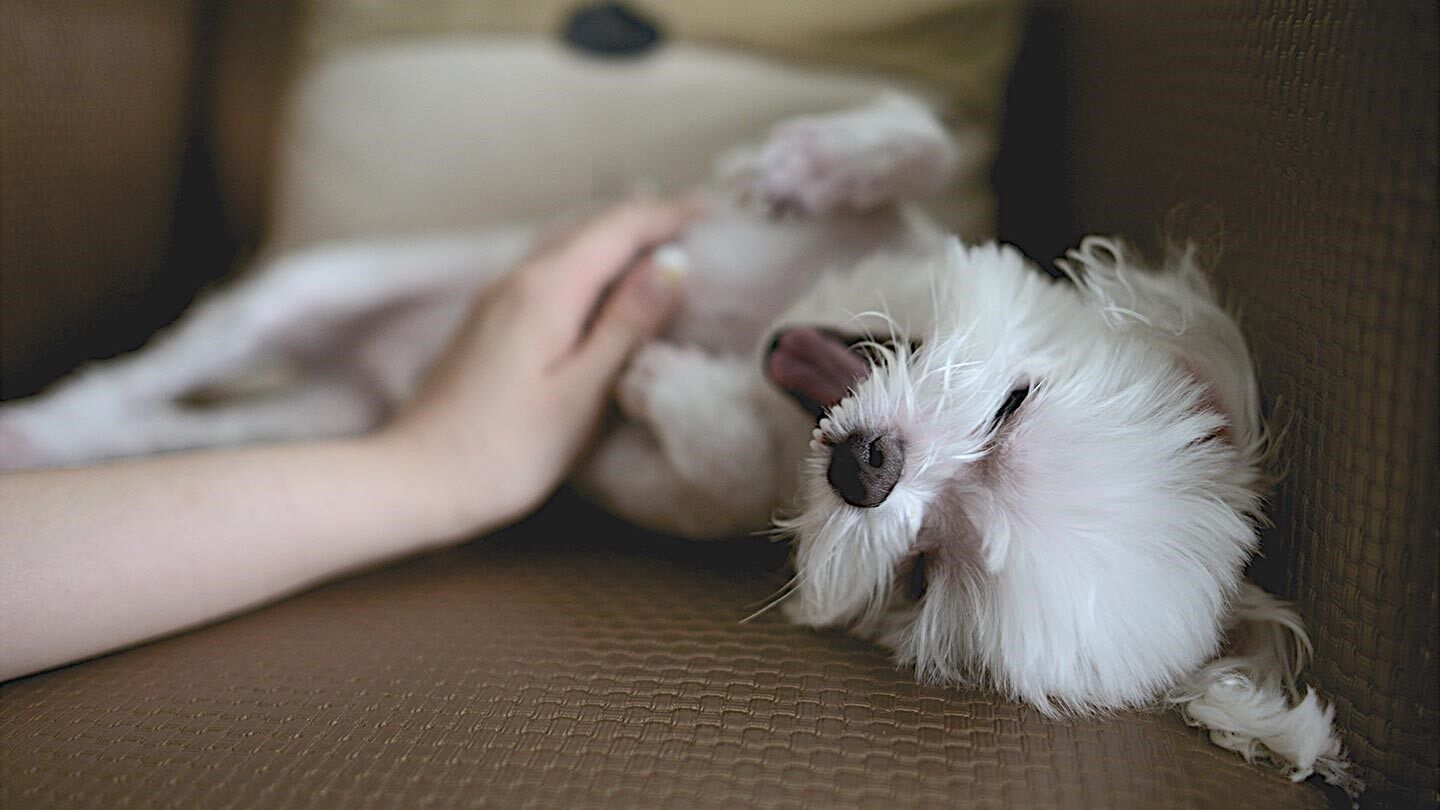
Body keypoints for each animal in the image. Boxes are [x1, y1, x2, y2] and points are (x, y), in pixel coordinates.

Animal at [0, 91, 1353, 789]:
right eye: (1016, 405)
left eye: (927, 574)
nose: (869, 469)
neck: (781, 334)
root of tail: (365, 374)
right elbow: (918, 139)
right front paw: (816, 162)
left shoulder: (675, 484)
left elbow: (703, 469)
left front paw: (669, 384)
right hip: (320, 289)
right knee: (182, 358)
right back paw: (43, 419)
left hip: (324, 417)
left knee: (170, 422)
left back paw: (54, 440)